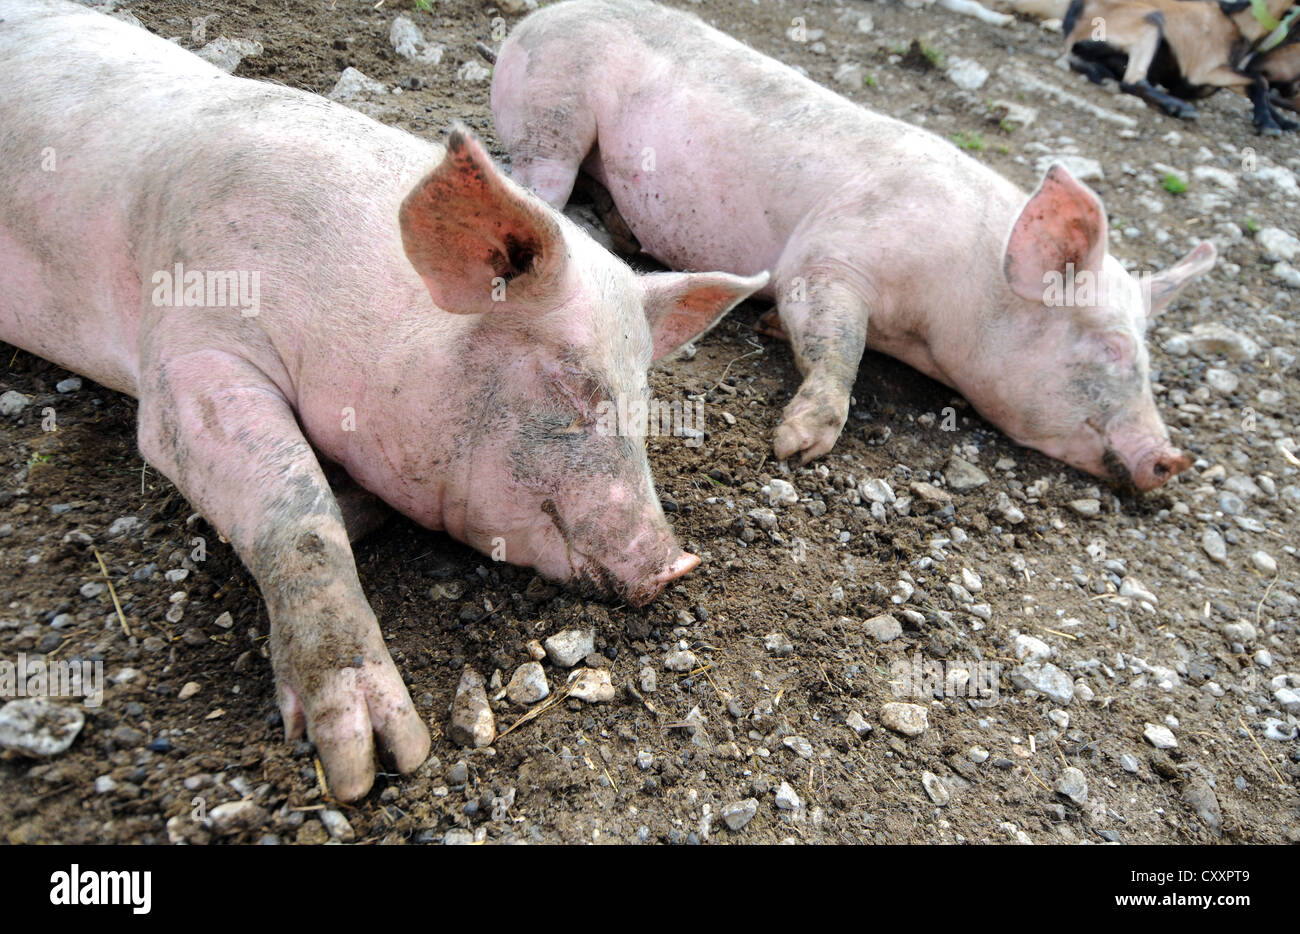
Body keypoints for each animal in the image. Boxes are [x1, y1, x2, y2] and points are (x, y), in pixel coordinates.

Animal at [0, 1, 764, 806]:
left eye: (645, 397)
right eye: (568, 382)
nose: (678, 563)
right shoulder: (190, 346)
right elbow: (296, 508)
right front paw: (375, 762)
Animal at [493, 0, 1216, 494]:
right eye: (1112, 346)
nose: (1174, 457)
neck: (936, 329)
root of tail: (540, 17)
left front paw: (773, 344)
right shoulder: (825, 256)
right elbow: (839, 340)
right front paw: (796, 445)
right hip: (554, 108)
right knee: (541, 184)